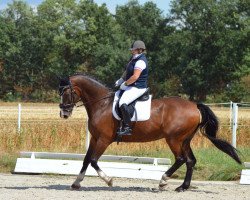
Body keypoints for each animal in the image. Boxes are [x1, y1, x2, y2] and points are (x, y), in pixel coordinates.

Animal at [58, 74, 242, 192]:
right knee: (190, 160)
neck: (101, 105)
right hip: (184, 140)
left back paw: (163, 181)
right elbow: (86, 160)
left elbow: (94, 161)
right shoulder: (95, 139)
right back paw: (182, 187)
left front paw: (109, 180)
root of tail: (194, 105)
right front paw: (76, 183)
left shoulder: (104, 139)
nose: (63, 114)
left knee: (181, 159)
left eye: (66, 92)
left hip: (174, 139)